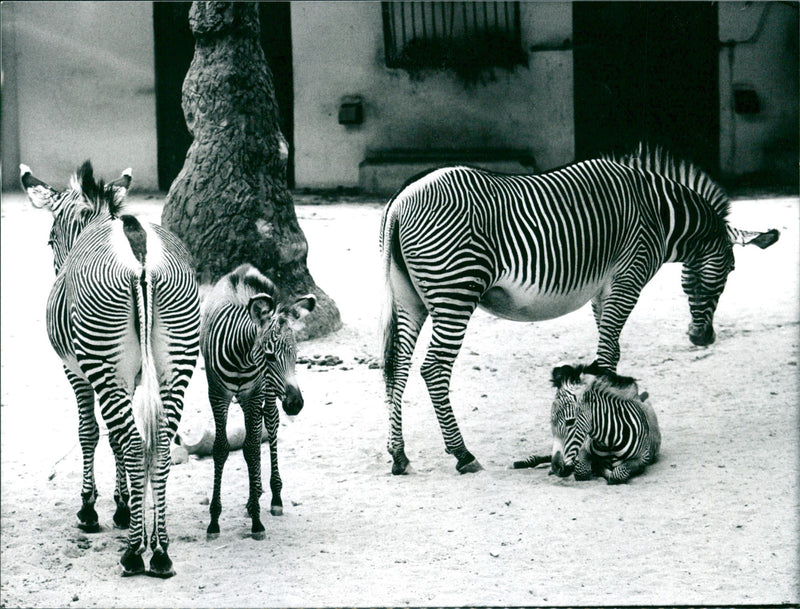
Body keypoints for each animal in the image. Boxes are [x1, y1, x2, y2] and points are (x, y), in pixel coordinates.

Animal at [22, 162, 200, 578]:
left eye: (50, 240)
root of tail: (140, 252)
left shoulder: (77, 372)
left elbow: (91, 433)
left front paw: (91, 508)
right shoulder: (129, 378)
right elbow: (116, 438)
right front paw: (124, 506)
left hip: (102, 361)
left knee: (135, 443)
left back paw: (136, 552)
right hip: (176, 362)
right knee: (159, 444)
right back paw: (161, 549)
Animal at [201, 263, 315, 540]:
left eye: (296, 356)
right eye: (270, 356)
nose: (296, 404)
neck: (241, 358)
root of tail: (246, 269)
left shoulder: (254, 394)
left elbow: (252, 449)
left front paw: (256, 519)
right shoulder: (217, 394)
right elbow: (221, 449)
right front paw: (214, 521)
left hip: (265, 391)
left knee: (270, 424)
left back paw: (273, 497)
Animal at [515, 363, 661, 484]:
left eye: (570, 422)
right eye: (551, 422)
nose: (556, 468)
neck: (608, 441)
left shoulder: (642, 458)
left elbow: (617, 474)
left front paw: (604, 471)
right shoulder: (582, 450)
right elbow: (581, 471)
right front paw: (597, 468)